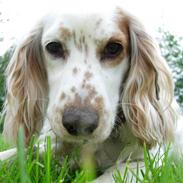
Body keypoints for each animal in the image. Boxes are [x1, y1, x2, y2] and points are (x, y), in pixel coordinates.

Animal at [0, 6, 183, 182]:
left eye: (113, 47)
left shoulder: (143, 163)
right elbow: (13, 153)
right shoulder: (46, 147)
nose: (80, 123)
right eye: (53, 46)